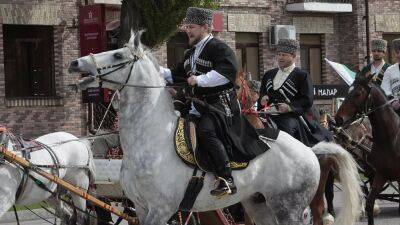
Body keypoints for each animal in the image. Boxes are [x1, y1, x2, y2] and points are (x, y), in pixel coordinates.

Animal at [334, 75, 400, 225]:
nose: (338, 118)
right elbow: (369, 203)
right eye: (348, 91)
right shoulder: (381, 174)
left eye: (358, 93)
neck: (390, 138)